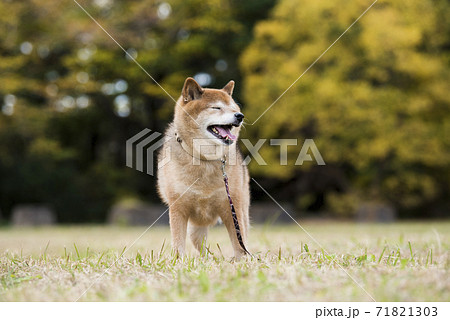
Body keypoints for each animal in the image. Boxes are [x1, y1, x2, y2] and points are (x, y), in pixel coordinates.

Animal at [157, 77, 250, 260]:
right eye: (216, 107)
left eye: (234, 108)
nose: (240, 116)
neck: (204, 159)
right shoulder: (178, 208)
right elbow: (178, 242)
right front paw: (178, 261)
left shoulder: (232, 207)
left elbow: (238, 241)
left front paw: (242, 260)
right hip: (195, 228)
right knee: (200, 245)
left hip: (242, 207)